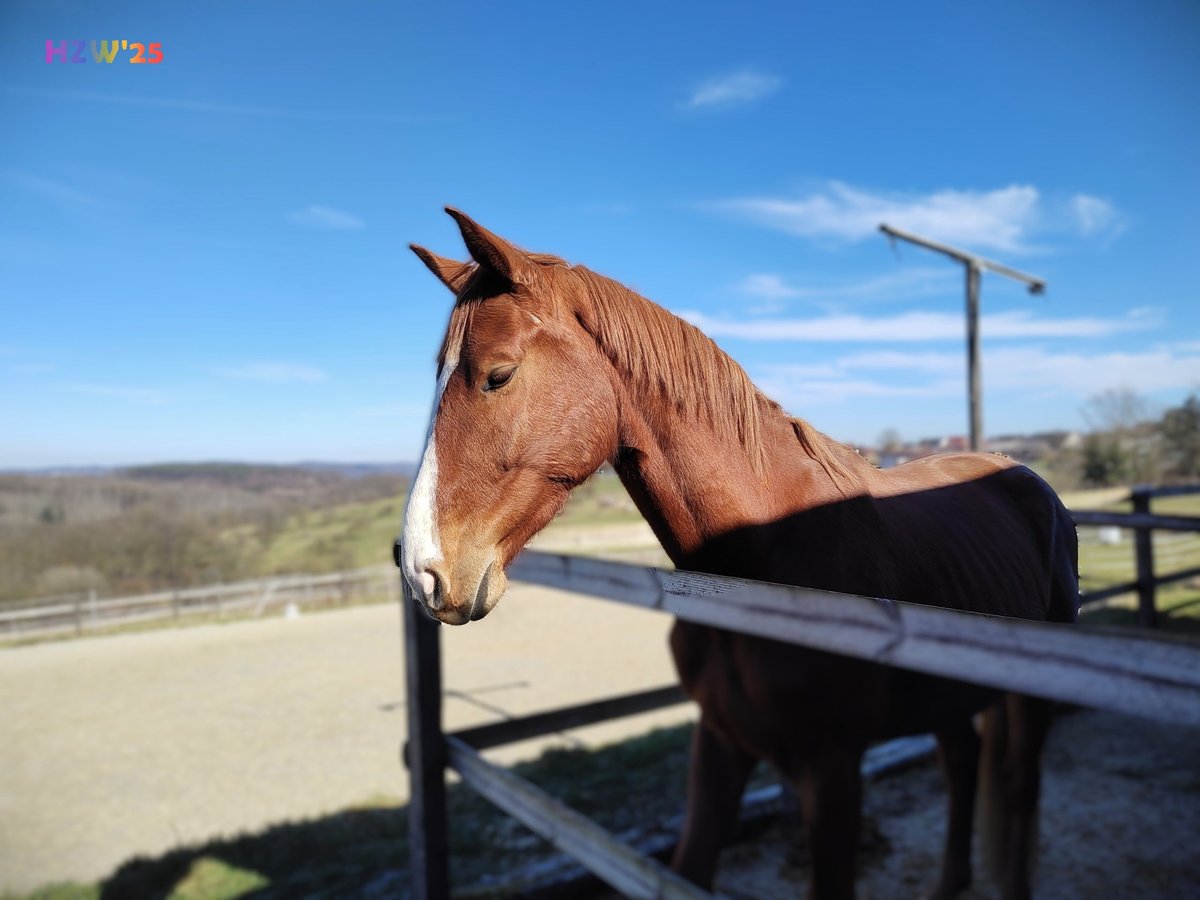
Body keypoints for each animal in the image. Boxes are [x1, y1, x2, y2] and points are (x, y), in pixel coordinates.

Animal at [398, 207, 1084, 897]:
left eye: (498, 375)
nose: (420, 568)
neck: (763, 568)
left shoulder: (832, 770)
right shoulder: (720, 747)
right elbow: (687, 867)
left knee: (1020, 787)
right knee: (963, 764)